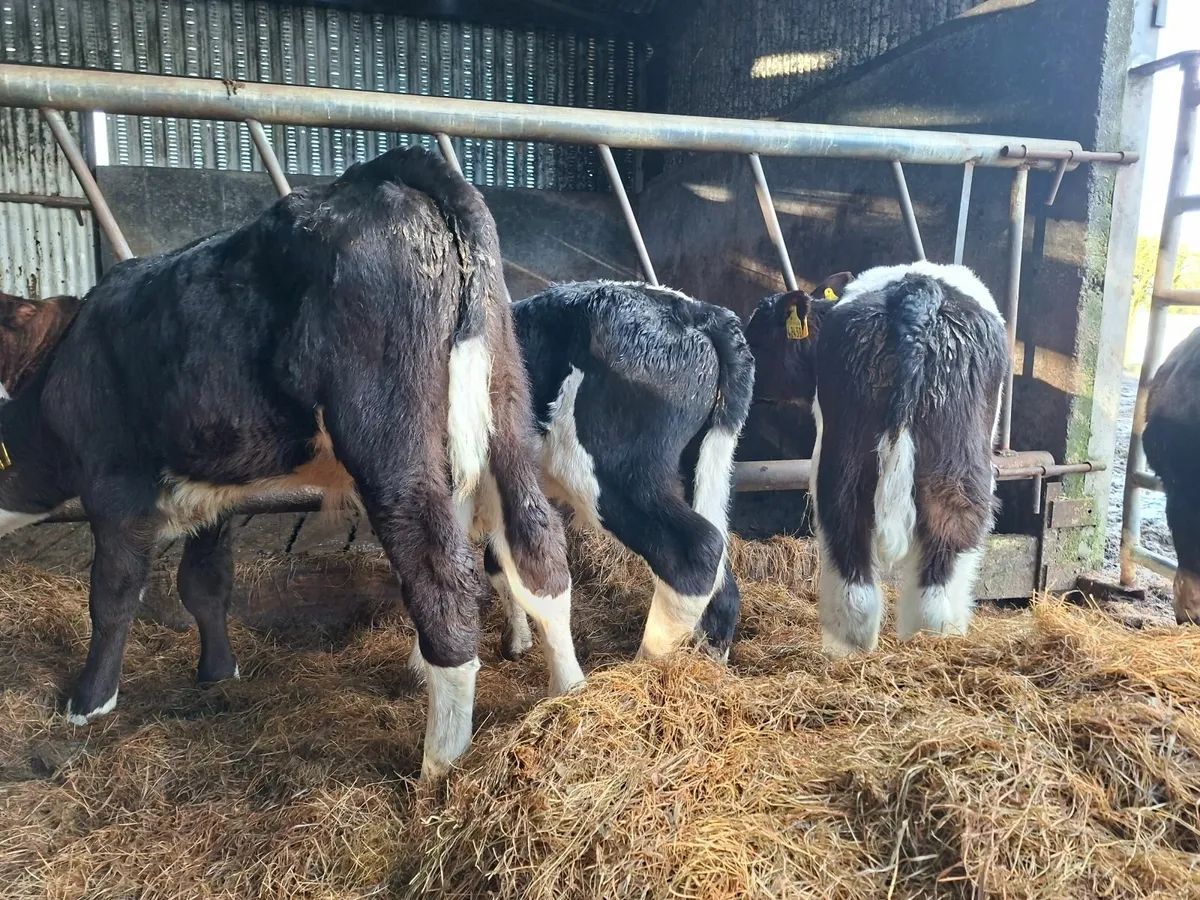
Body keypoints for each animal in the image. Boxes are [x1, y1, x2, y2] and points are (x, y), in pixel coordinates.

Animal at [0, 146, 584, 779]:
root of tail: (389, 175)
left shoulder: (115, 489)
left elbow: (112, 595)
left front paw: (89, 703)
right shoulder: (215, 494)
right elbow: (205, 584)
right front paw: (218, 672)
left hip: (390, 444)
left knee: (444, 579)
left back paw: (440, 764)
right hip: (506, 407)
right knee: (539, 548)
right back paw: (570, 697)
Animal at [486, 280, 756, 661]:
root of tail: (697, 311)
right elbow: (499, 561)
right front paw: (517, 641)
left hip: (607, 469)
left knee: (695, 550)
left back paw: (646, 665)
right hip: (696, 470)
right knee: (723, 579)